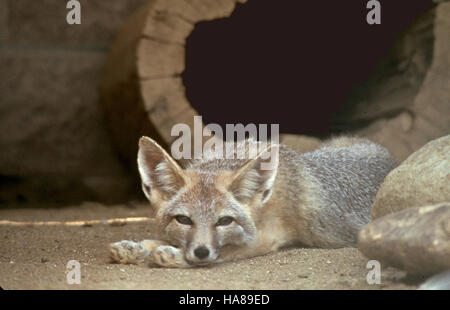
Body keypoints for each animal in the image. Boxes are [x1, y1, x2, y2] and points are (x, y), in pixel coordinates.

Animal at [110, 134, 396, 268]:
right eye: (183, 219)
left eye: (224, 221)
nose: (201, 251)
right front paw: (137, 247)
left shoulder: (268, 238)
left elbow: (227, 251)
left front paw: (171, 254)